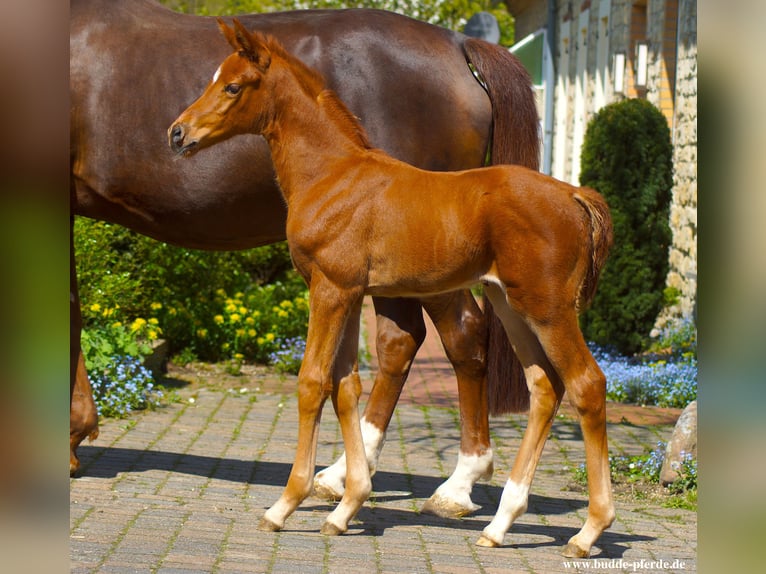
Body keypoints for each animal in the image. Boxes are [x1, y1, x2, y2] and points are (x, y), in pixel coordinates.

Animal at [70, 0, 541, 519]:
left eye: (232, 86)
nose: (176, 133)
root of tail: (457, 44)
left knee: (460, 335)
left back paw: (458, 483)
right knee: (401, 343)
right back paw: (344, 475)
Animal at [169, 20, 615, 557]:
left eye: (233, 86)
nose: (177, 133)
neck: (332, 175)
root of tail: (575, 193)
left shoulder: (330, 290)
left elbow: (312, 383)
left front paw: (285, 505)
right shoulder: (347, 292)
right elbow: (345, 386)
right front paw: (345, 505)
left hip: (547, 307)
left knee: (587, 383)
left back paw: (587, 531)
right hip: (511, 304)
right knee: (545, 386)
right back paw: (499, 525)